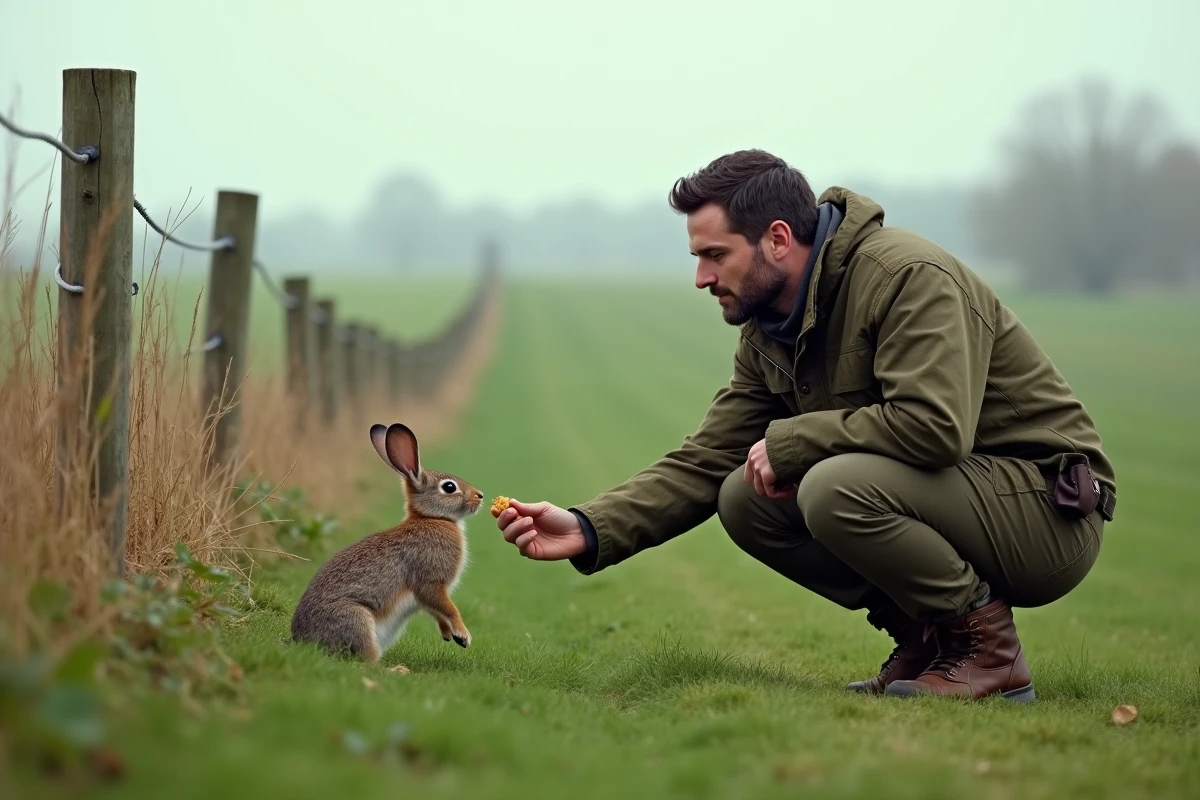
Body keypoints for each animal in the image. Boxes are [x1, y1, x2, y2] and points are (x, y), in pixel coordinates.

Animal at [290, 422, 484, 662]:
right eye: (449, 487)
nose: (480, 496)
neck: (432, 518)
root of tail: (302, 641)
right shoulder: (430, 580)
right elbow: (448, 607)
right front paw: (463, 634)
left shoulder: (426, 596)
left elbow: (435, 610)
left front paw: (449, 635)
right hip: (357, 620)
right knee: (367, 661)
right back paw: (397, 669)